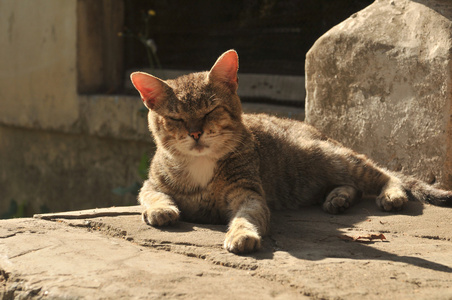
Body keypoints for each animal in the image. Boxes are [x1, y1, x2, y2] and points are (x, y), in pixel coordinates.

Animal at [131, 48, 452, 253]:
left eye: (210, 111)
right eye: (176, 118)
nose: (195, 133)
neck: (201, 164)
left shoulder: (248, 194)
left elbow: (247, 216)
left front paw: (242, 233)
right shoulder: (151, 182)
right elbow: (152, 195)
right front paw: (161, 209)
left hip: (328, 157)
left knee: (381, 174)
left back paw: (391, 194)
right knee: (355, 185)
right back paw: (338, 198)